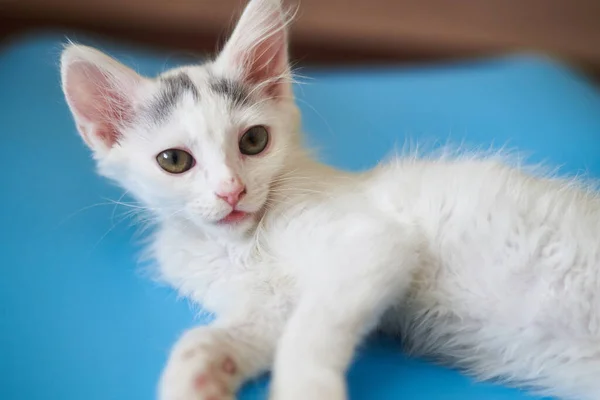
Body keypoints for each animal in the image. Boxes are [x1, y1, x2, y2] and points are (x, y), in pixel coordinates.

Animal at [59, 0, 600, 400]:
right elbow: (234, 333)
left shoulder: (371, 243)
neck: (242, 245)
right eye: (174, 160)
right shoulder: (264, 303)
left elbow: (310, 329)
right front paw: (197, 375)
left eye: (253, 141)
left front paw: (304, 388)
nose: (231, 191)